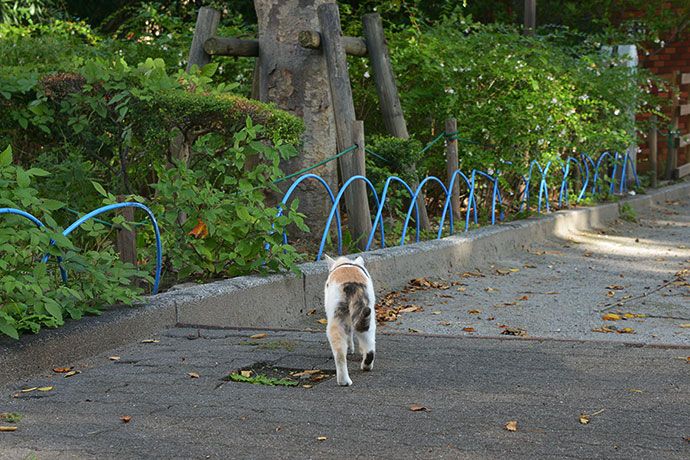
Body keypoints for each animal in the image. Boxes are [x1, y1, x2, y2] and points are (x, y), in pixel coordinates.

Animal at [324, 253, 376, 386]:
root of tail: (350, 284)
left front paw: (351, 348)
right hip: (368, 316)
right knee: (368, 345)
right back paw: (365, 366)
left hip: (337, 318)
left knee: (339, 353)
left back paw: (344, 381)